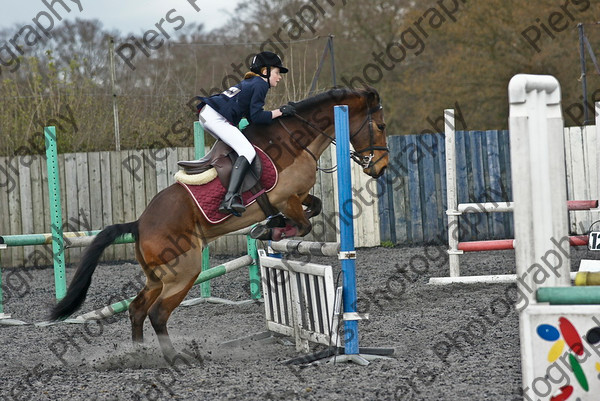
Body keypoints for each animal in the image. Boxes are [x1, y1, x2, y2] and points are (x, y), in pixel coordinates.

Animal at [50, 86, 390, 360]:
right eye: (381, 125)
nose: (382, 168)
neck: (295, 139)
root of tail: (139, 223)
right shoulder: (286, 198)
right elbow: (303, 225)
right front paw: (270, 228)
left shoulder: (299, 196)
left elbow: (314, 207)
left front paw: (270, 227)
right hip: (183, 274)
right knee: (157, 314)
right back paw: (174, 359)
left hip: (157, 278)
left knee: (137, 310)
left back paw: (139, 356)